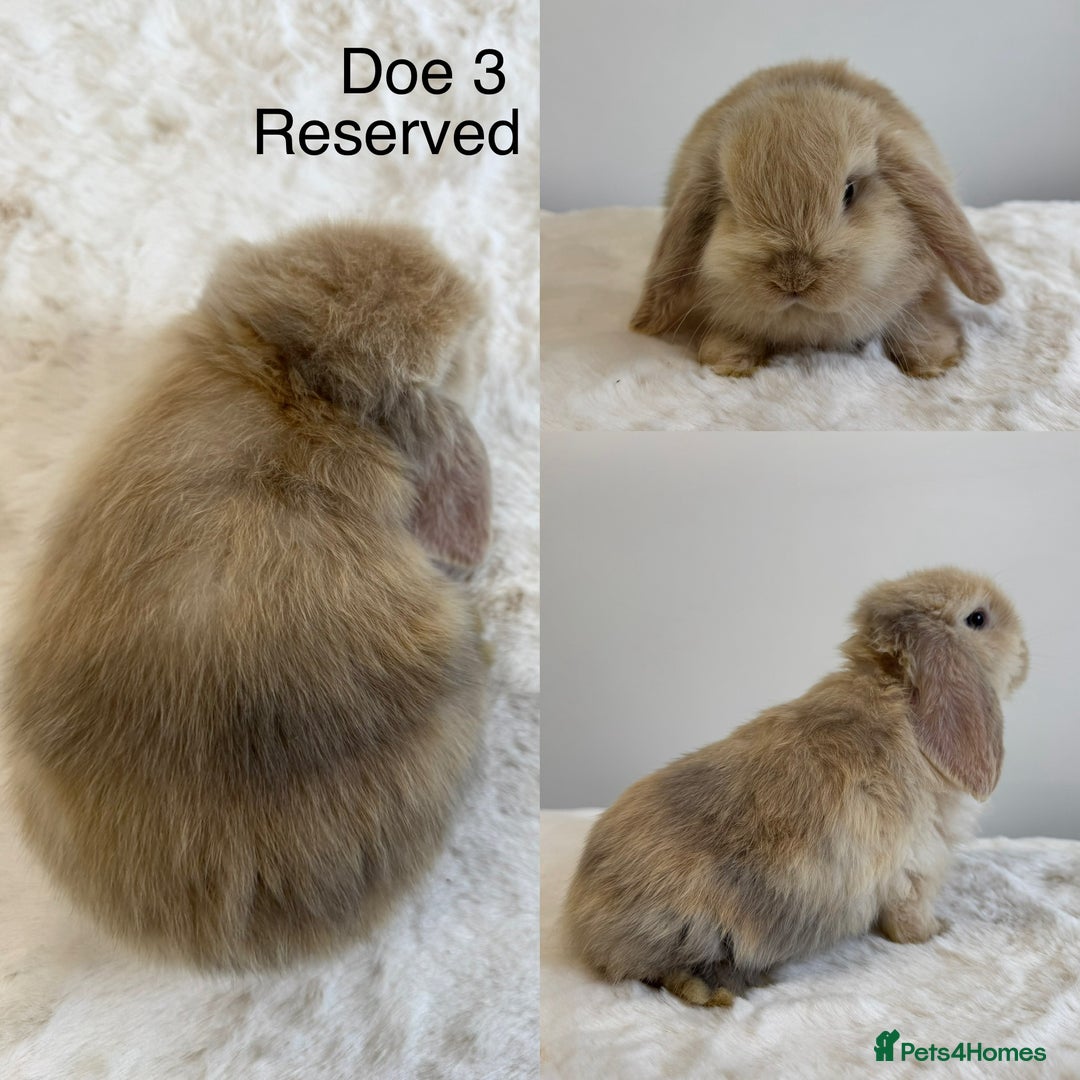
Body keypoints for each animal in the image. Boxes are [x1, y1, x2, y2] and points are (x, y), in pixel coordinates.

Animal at [564, 567, 1028, 1006]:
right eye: (979, 618)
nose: (1025, 652)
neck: (900, 696)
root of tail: (584, 916)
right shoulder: (918, 865)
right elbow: (909, 919)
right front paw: (937, 931)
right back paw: (712, 989)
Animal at [630, 61, 1004, 378]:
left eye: (849, 192)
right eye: (733, 204)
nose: (794, 279)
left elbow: (918, 314)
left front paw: (934, 362)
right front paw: (726, 360)